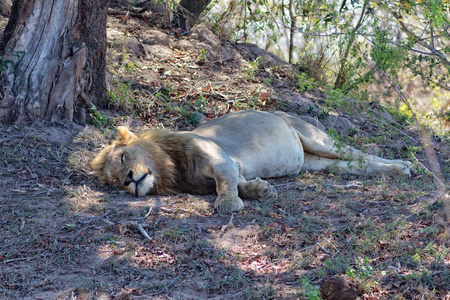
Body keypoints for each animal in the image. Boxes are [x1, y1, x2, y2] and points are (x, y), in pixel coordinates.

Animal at [90, 110, 412, 213]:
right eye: (113, 182)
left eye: (123, 157)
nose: (128, 180)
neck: (171, 166)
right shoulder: (231, 169)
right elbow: (240, 184)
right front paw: (262, 190)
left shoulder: (221, 159)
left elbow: (224, 185)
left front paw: (229, 203)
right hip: (316, 162)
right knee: (358, 166)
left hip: (319, 139)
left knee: (363, 155)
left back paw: (404, 166)